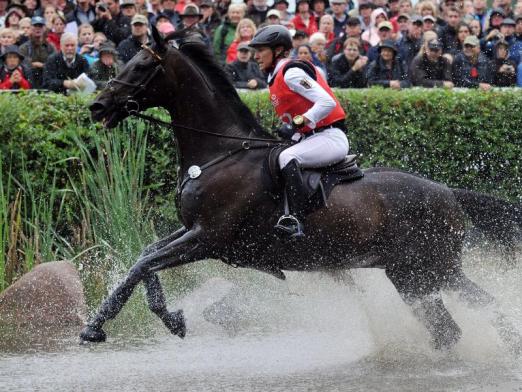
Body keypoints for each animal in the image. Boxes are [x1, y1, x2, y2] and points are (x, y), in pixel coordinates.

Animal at [81, 28, 520, 352]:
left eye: (141, 66)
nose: (98, 106)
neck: (220, 153)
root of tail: (448, 192)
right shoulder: (192, 231)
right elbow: (145, 257)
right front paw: (125, 321)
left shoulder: (208, 239)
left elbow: (144, 264)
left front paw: (121, 325)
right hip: (413, 275)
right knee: (452, 327)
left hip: (432, 268)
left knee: (470, 316)